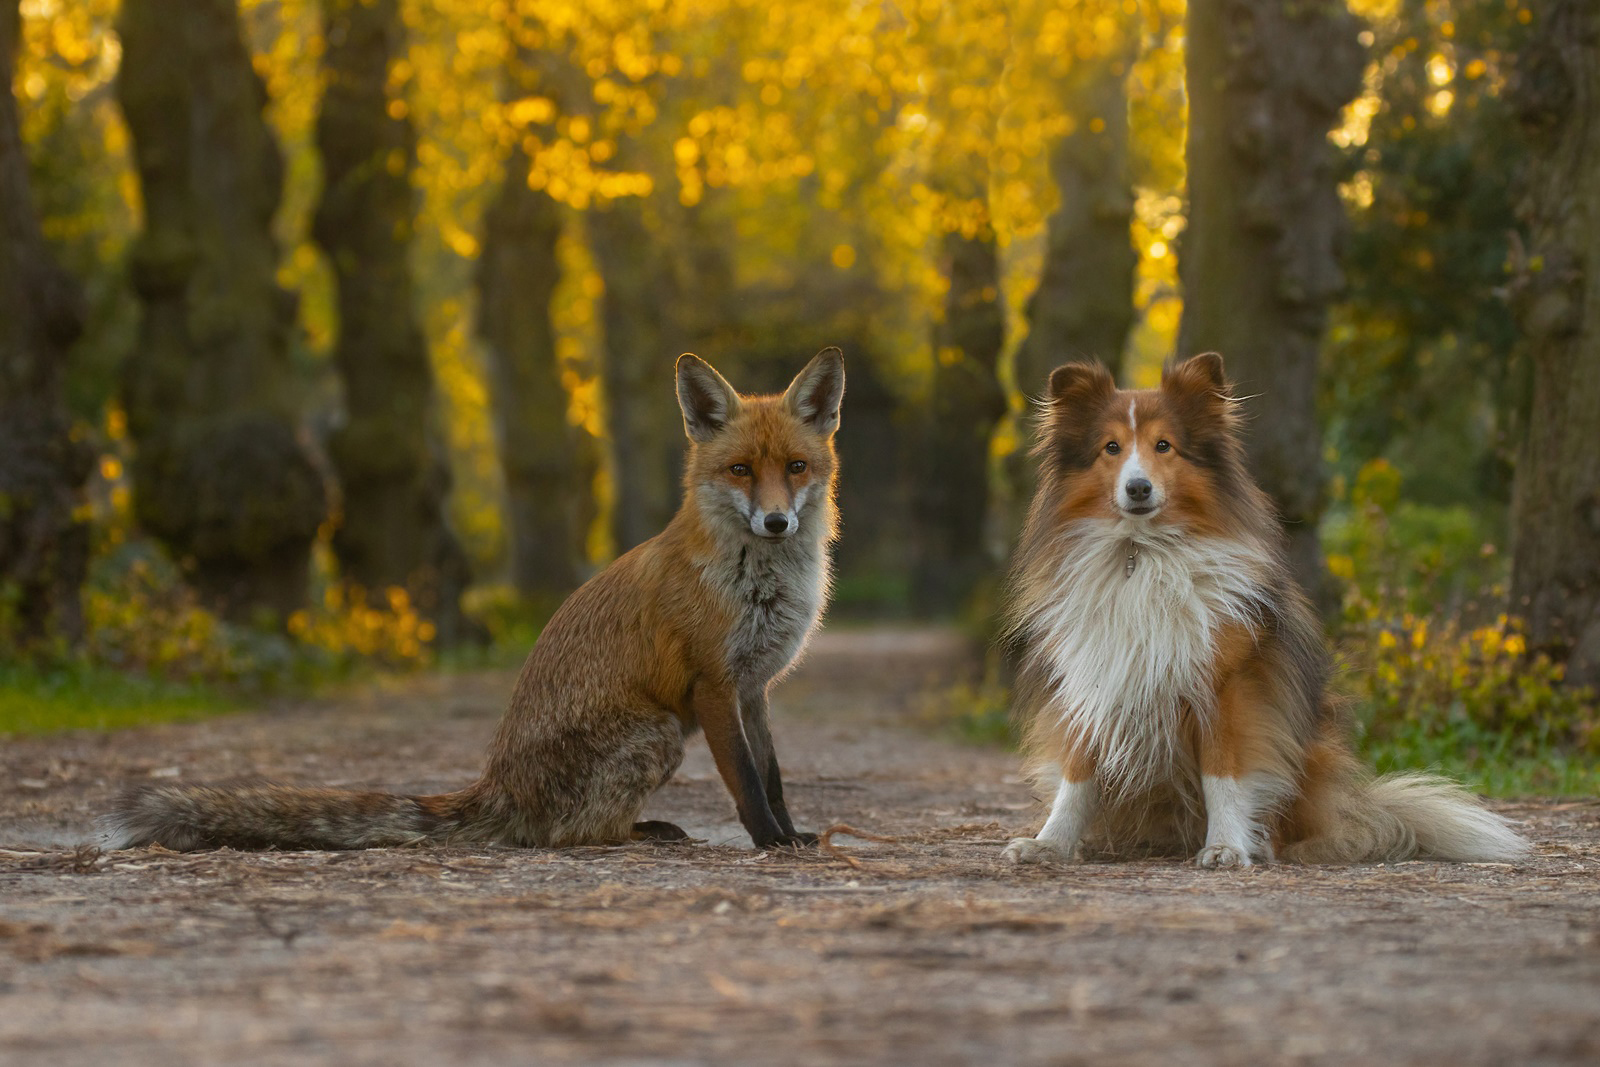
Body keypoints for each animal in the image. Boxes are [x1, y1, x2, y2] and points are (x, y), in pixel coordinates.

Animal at [100, 348, 844, 851]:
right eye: (740, 470)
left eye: (796, 468)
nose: (776, 522)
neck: (760, 581)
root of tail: (496, 786)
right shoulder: (714, 683)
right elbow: (746, 782)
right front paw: (770, 842)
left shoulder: (754, 688)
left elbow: (773, 775)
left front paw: (792, 833)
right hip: (659, 732)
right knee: (565, 834)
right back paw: (642, 831)